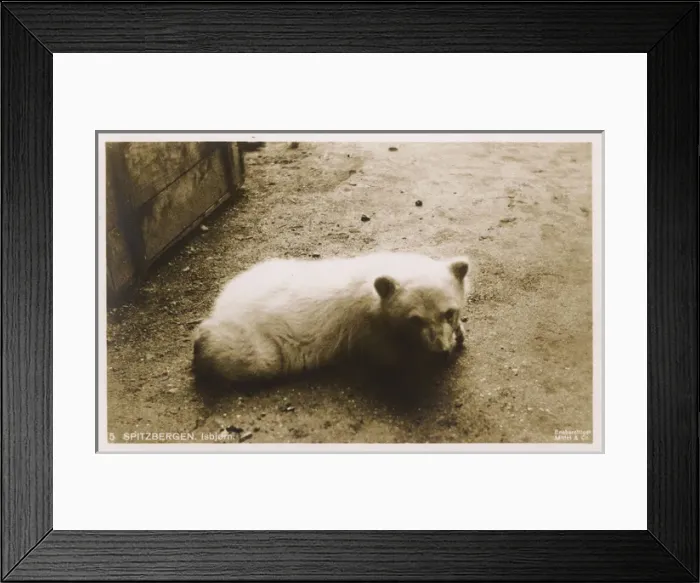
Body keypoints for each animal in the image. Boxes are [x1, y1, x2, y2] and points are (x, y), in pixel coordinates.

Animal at [192, 251, 470, 384]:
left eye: (449, 312)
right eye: (415, 319)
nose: (441, 350)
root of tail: (222, 300)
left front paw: (459, 334)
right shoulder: (368, 328)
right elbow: (391, 357)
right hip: (256, 334)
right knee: (253, 357)